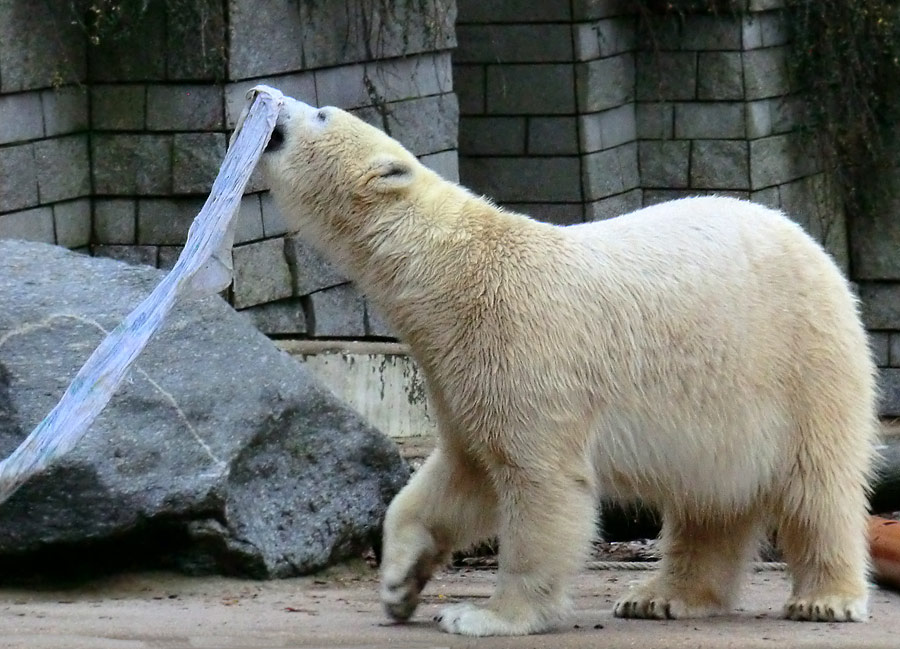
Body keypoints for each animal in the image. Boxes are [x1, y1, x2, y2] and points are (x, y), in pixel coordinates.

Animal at [255, 88, 880, 636]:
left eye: (320, 112)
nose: (265, 98)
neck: (455, 269)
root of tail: (814, 247)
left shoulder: (525, 346)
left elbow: (541, 484)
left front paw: (484, 616)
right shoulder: (458, 368)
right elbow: (461, 477)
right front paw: (399, 584)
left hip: (799, 359)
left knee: (816, 485)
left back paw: (824, 599)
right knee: (711, 497)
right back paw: (660, 596)